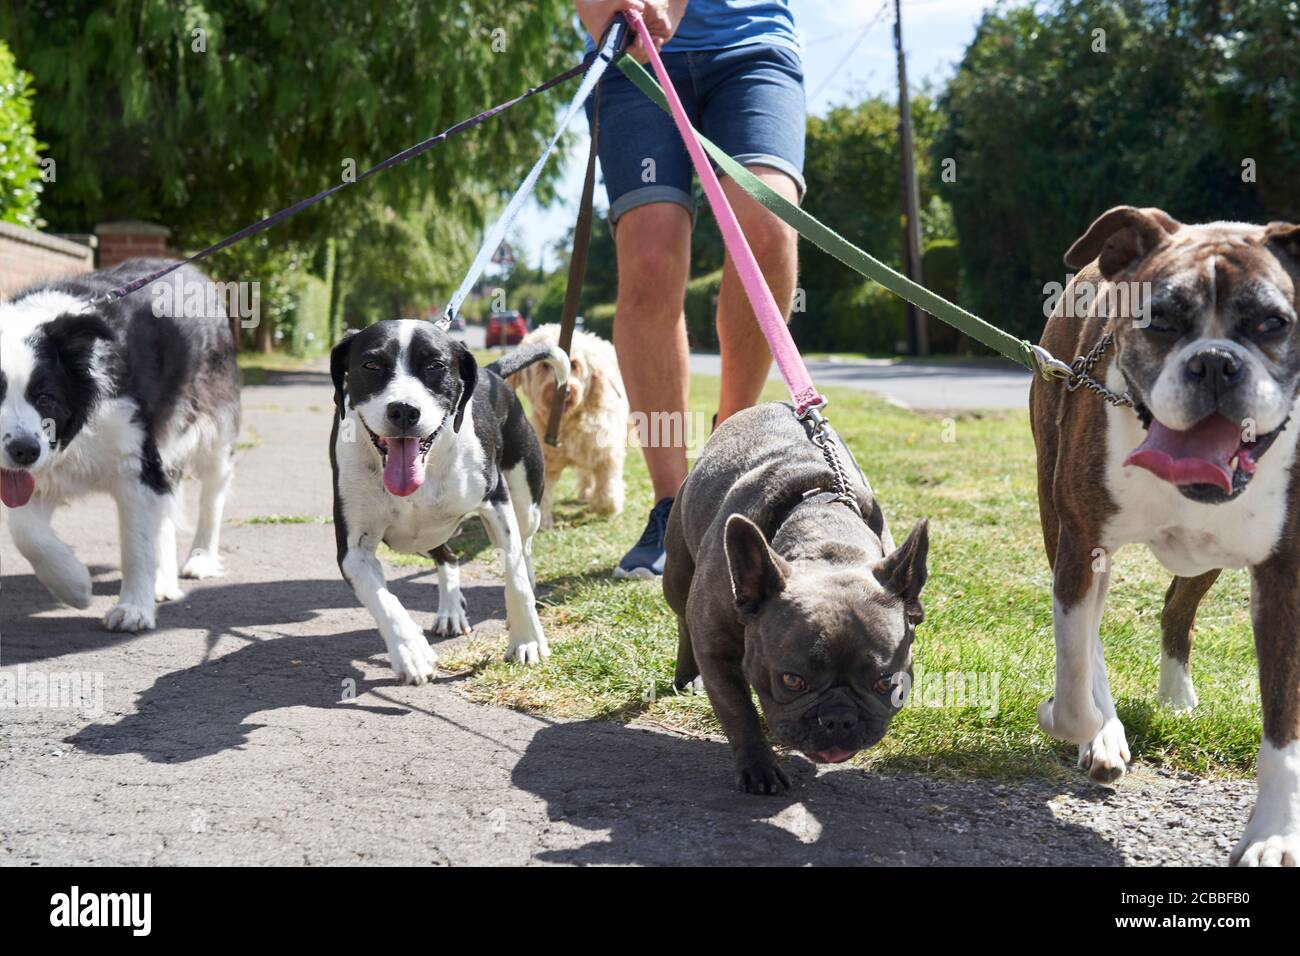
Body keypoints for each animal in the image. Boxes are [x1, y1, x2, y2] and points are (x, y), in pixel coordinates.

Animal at [0, 261, 241, 632]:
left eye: (45, 397)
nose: (25, 451)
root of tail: (194, 270)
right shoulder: (43, 471)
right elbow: (25, 532)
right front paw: (74, 585)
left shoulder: (134, 459)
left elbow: (136, 543)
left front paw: (133, 609)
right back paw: (163, 580)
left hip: (212, 417)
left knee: (213, 490)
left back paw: (200, 558)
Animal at [330, 319, 564, 681]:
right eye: (371, 365)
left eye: (436, 366)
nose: (404, 410)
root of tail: (491, 371)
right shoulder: (354, 550)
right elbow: (383, 600)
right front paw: (410, 651)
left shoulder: (496, 506)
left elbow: (514, 578)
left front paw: (527, 640)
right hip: (417, 538)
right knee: (449, 557)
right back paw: (451, 611)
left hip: (526, 503)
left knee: (523, 546)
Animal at [506, 325, 629, 528]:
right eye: (545, 365)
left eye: (574, 364)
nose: (566, 391)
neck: (567, 421)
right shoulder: (545, 460)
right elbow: (543, 494)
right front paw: (543, 522)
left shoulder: (606, 453)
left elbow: (607, 488)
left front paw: (604, 507)